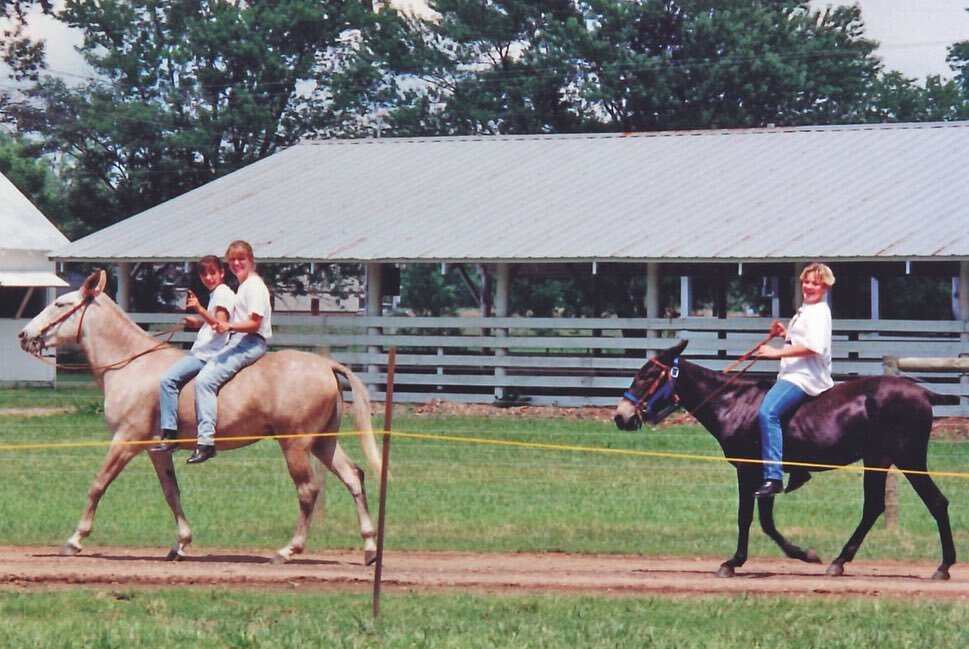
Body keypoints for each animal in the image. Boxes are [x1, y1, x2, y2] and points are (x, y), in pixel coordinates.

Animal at [18, 268, 382, 560]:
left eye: (61, 304)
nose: (24, 335)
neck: (132, 365)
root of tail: (327, 365)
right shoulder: (156, 450)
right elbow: (171, 492)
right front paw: (180, 543)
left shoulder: (125, 441)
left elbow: (97, 485)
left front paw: (74, 540)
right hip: (323, 443)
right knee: (353, 477)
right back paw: (369, 548)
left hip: (296, 445)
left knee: (308, 491)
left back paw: (288, 550)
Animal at [612, 340, 952, 576]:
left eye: (647, 375)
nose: (621, 416)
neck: (733, 403)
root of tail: (923, 393)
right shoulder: (766, 476)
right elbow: (765, 520)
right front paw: (803, 554)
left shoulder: (750, 471)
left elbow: (749, 518)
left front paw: (735, 562)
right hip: (878, 459)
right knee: (874, 508)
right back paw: (840, 561)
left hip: (908, 458)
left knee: (935, 502)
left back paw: (943, 566)